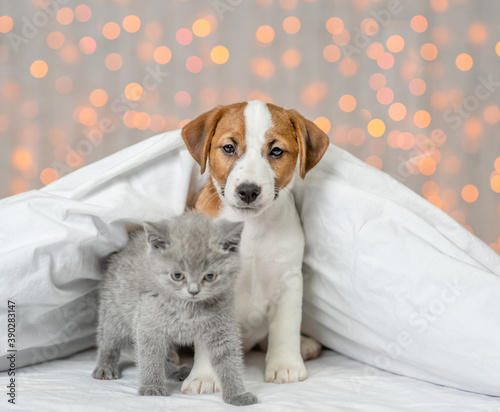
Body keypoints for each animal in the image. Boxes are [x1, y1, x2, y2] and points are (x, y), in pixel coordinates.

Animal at [92, 212, 258, 406]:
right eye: (177, 275)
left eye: (209, 276)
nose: (193, 291)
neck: (188, 308)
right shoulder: (149, 325)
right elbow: (150, 358)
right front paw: (151, 387)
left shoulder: (222, 329)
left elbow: (229, 360)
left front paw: (237, 394)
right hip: (114, 311)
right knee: (108, 340)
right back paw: (105, 366)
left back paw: (177, 371)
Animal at [179, 99, 328, 392]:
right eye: (229, 147)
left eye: (276, 151)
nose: (248, 190)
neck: (251, 228)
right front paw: (204, 376)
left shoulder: (289, 282)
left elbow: (285, 328)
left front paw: (285, 366)